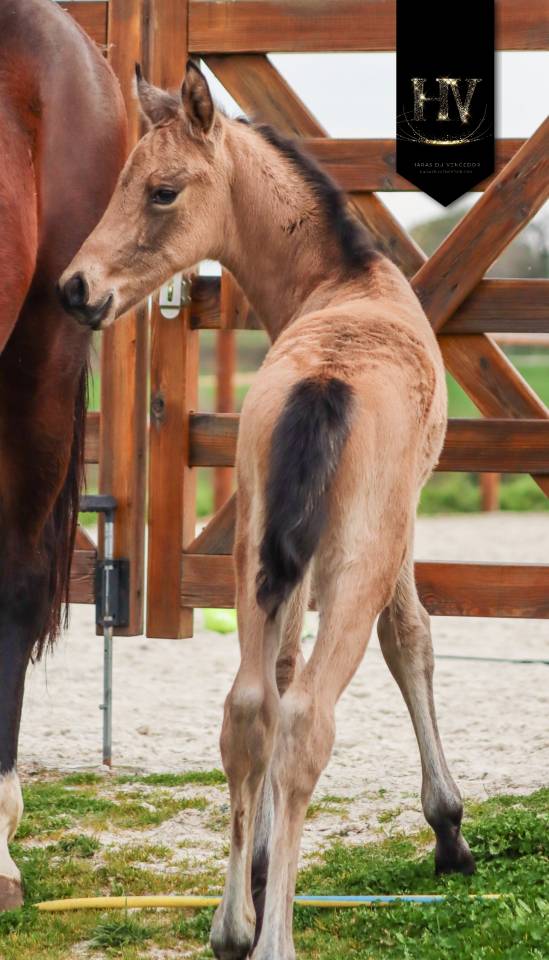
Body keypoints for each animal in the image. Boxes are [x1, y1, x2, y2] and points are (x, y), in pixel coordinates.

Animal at [59, 61, 475, 960]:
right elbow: (411, 642)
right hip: (353, 562)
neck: (342, 286)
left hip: (250, 551)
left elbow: (275, 677)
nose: (77, 289)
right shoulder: (398, 534)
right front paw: (448, 830)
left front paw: (254, 868)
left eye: (161, 190)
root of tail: (324, 381)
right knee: (306, 721)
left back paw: (231, 927)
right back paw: (276, 935)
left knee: (249, 708)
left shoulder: (281, 552)